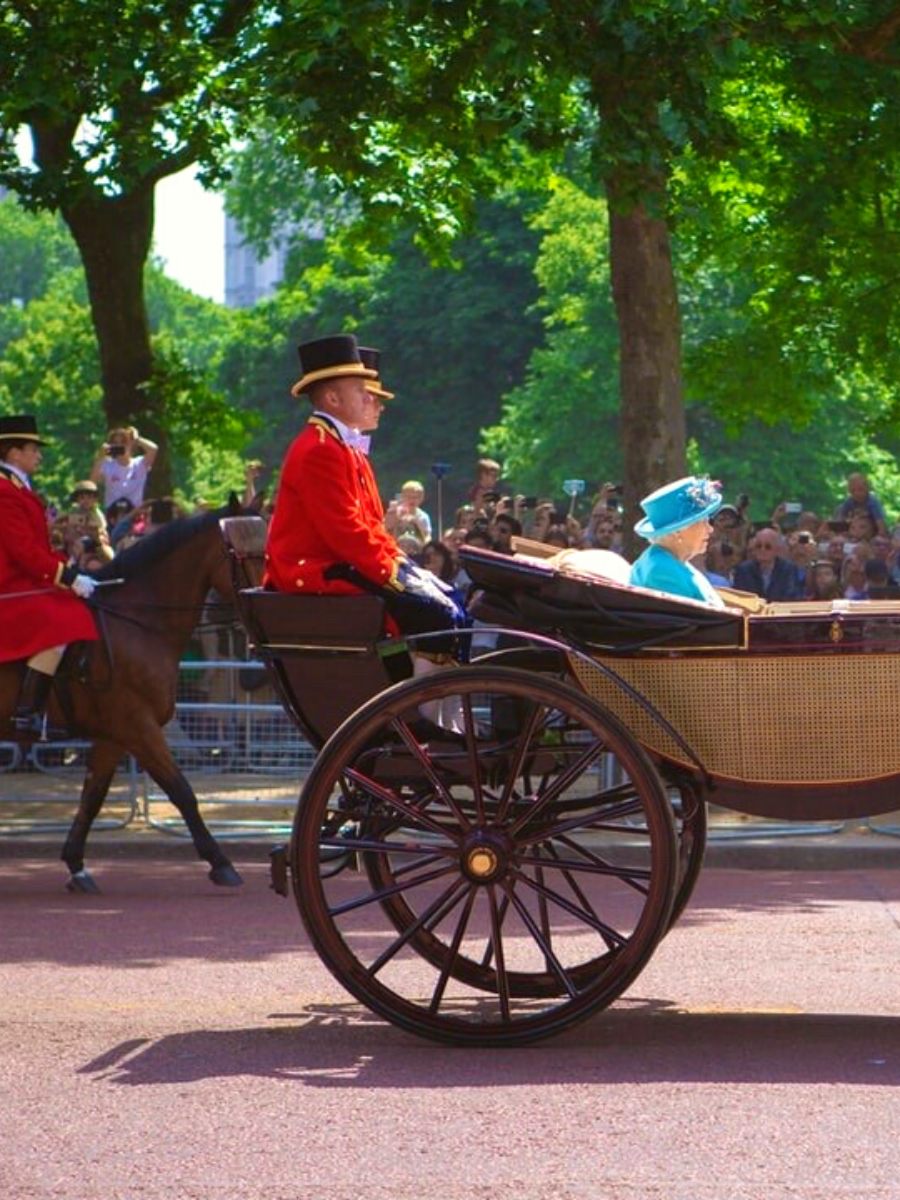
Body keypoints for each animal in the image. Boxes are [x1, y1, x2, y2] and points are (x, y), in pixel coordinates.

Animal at [2, 499, 250, 892]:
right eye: (250, 550)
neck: (138, 622)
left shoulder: (113, 736)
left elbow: (93, 796)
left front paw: (76, 866)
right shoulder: (138, 727)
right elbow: (182, 791)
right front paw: (221, 863)